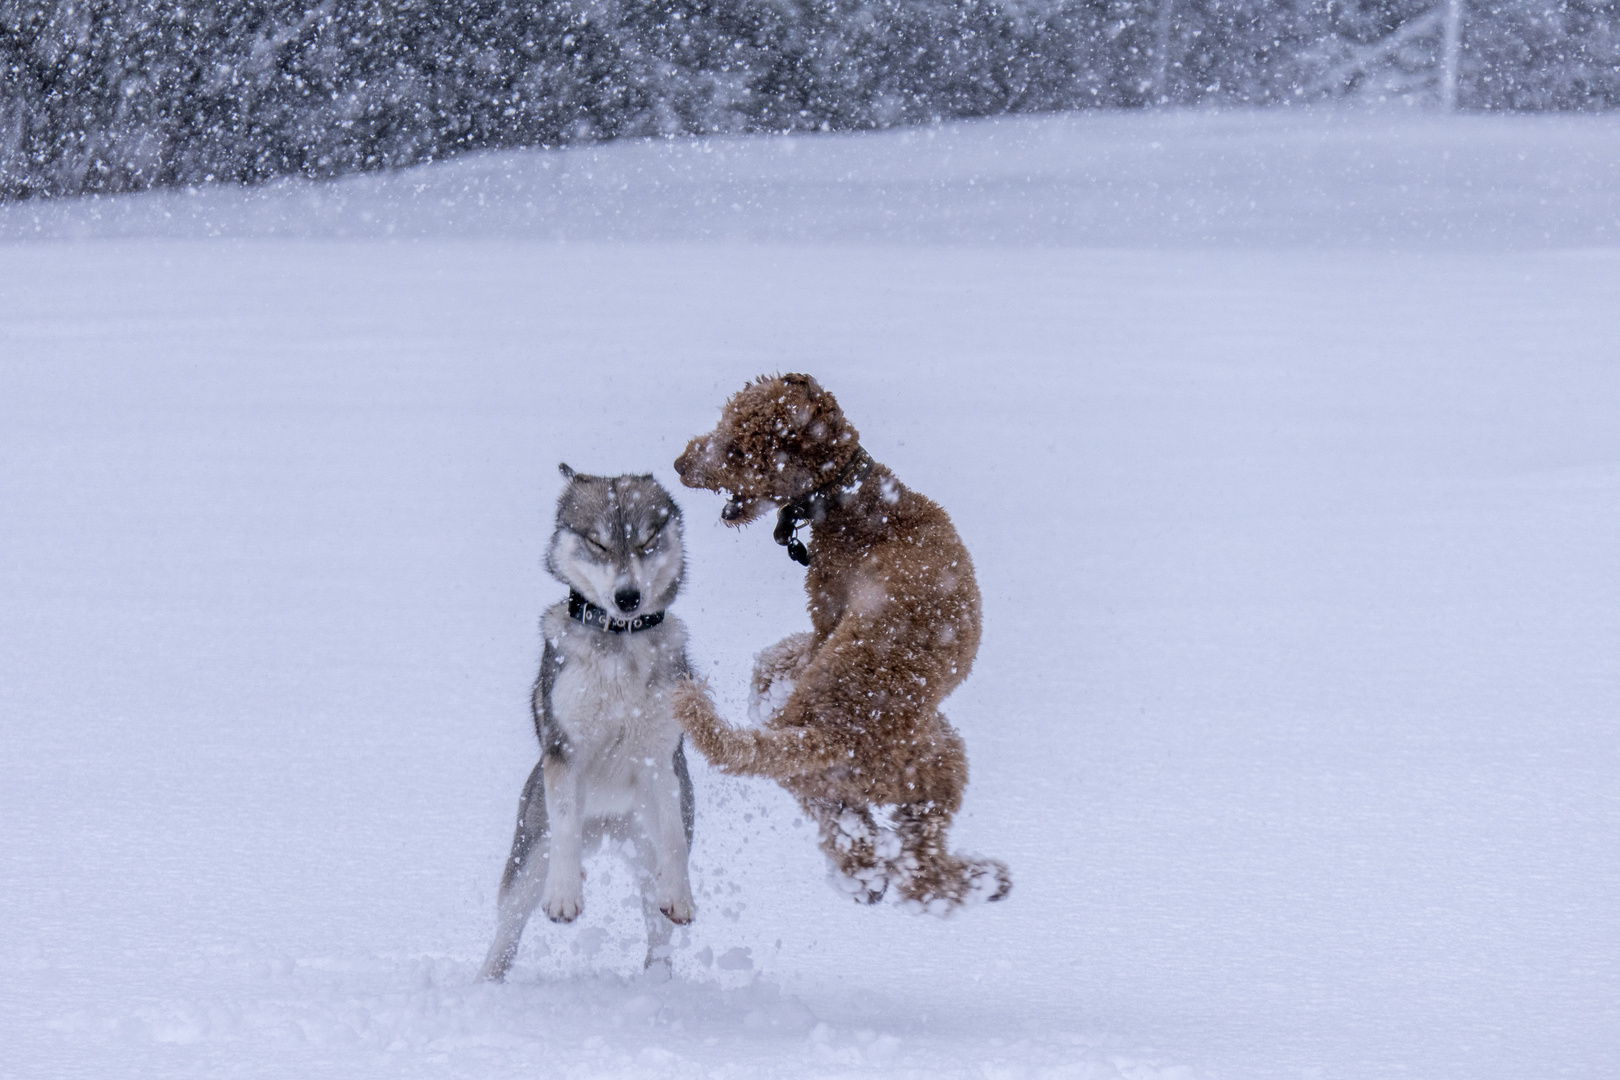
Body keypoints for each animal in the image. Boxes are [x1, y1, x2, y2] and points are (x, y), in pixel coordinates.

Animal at [664, 374, 1004, 913]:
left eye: (738, 448)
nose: (680, 464)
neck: (852, 499)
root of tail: (828, 735)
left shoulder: (823, 618)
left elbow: (778, 658)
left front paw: (768, 691)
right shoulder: (824, 622)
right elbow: (779, 658)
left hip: (903, 768)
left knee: (889, 852)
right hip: (932, 763)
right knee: (910, 862)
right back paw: (966, 881)